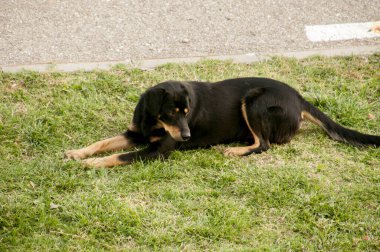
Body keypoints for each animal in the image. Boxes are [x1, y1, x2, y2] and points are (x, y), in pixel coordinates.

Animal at [63, 77, 378, 167]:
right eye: (172, 112)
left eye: (187, 111)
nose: (187, 138)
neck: (153, 122)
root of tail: (299, 98)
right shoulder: (136, 134)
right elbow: (102, 143)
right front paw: (77, 153)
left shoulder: (156, 151)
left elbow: (117, 156)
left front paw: (90, 165)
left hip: (253, 101)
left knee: (263, 144)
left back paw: (234, 150)